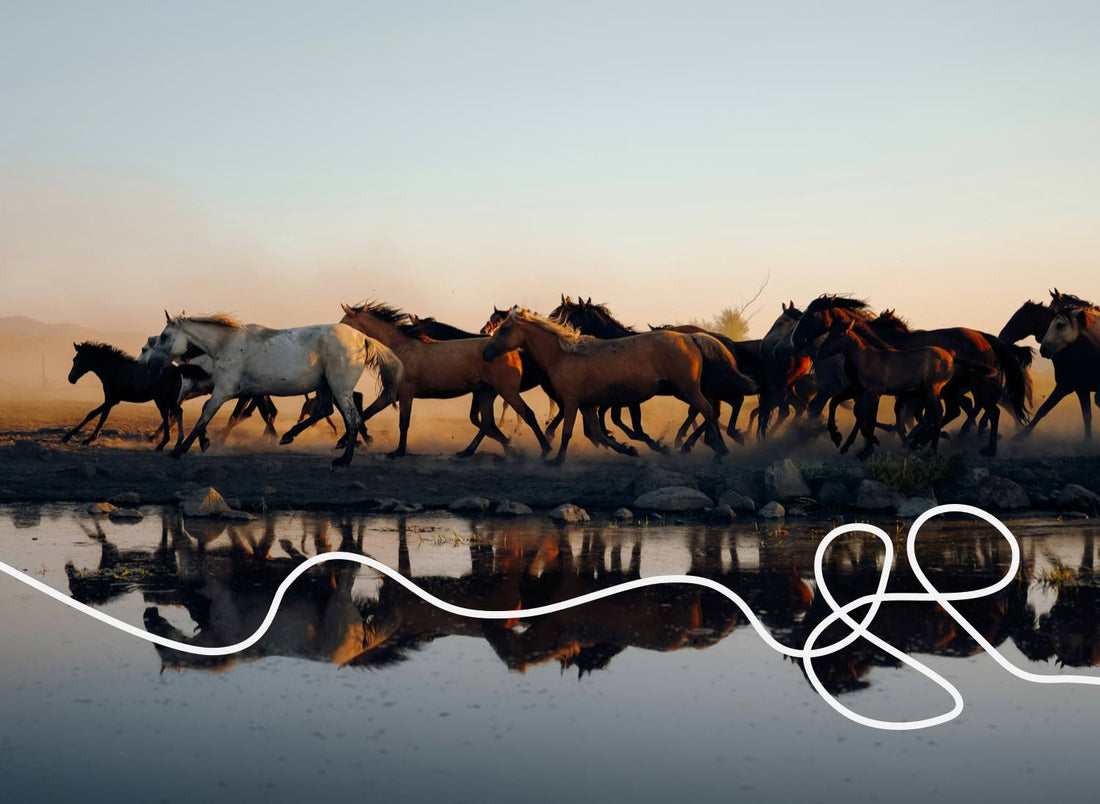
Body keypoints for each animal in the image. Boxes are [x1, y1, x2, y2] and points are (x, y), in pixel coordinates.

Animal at [62, 341, 199, 451]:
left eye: (76, 359)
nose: (70, 378)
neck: (113, 369)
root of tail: (176, 371)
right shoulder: (113, 400)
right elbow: (97, 415)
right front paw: (77, 438)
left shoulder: (111, 399)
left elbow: (97, 415)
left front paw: (81, 438)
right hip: (169, 399)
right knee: (177, 412)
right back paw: (176, 442)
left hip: (161, 399)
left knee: (168, 414)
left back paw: (163, 444)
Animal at [148, 313, 402, 467]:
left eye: (165, 336)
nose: (152, 365)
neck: (227, 344)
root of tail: (363, 338)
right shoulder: (240, 391)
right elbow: (209, 412)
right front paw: (204, 442)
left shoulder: (225, 389)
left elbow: (205, 415)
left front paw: (181, 449)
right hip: (327, 386)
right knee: (327, 411)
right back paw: (289, 436)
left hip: (340, 388)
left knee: (351, 418)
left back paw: (344, 459)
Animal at [339, 302, 552, 458]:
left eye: (344, 323)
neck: (399, 349)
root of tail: (514, 351)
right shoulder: (390, 394)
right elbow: (366, 413)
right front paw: (346, 441)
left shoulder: (406, 392)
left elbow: (403, 422)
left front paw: (398, 451)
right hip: (487, 392)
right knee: (487, 423)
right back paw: (471, 451)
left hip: (507, 390)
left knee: (527, 414)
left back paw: (545, 449)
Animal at [482, 307, 745, 464]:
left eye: (504, 329)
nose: (486, 353)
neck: (564, 354)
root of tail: (690, 337)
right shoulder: (588, 405)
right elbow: (599, 433)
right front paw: (629, 450)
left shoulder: (571, 401)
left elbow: (568, 432)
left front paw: (556, 460)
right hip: (683, 390)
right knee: (709, 411)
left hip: (687, 389)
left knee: (709, 411)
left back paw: (717, 449)